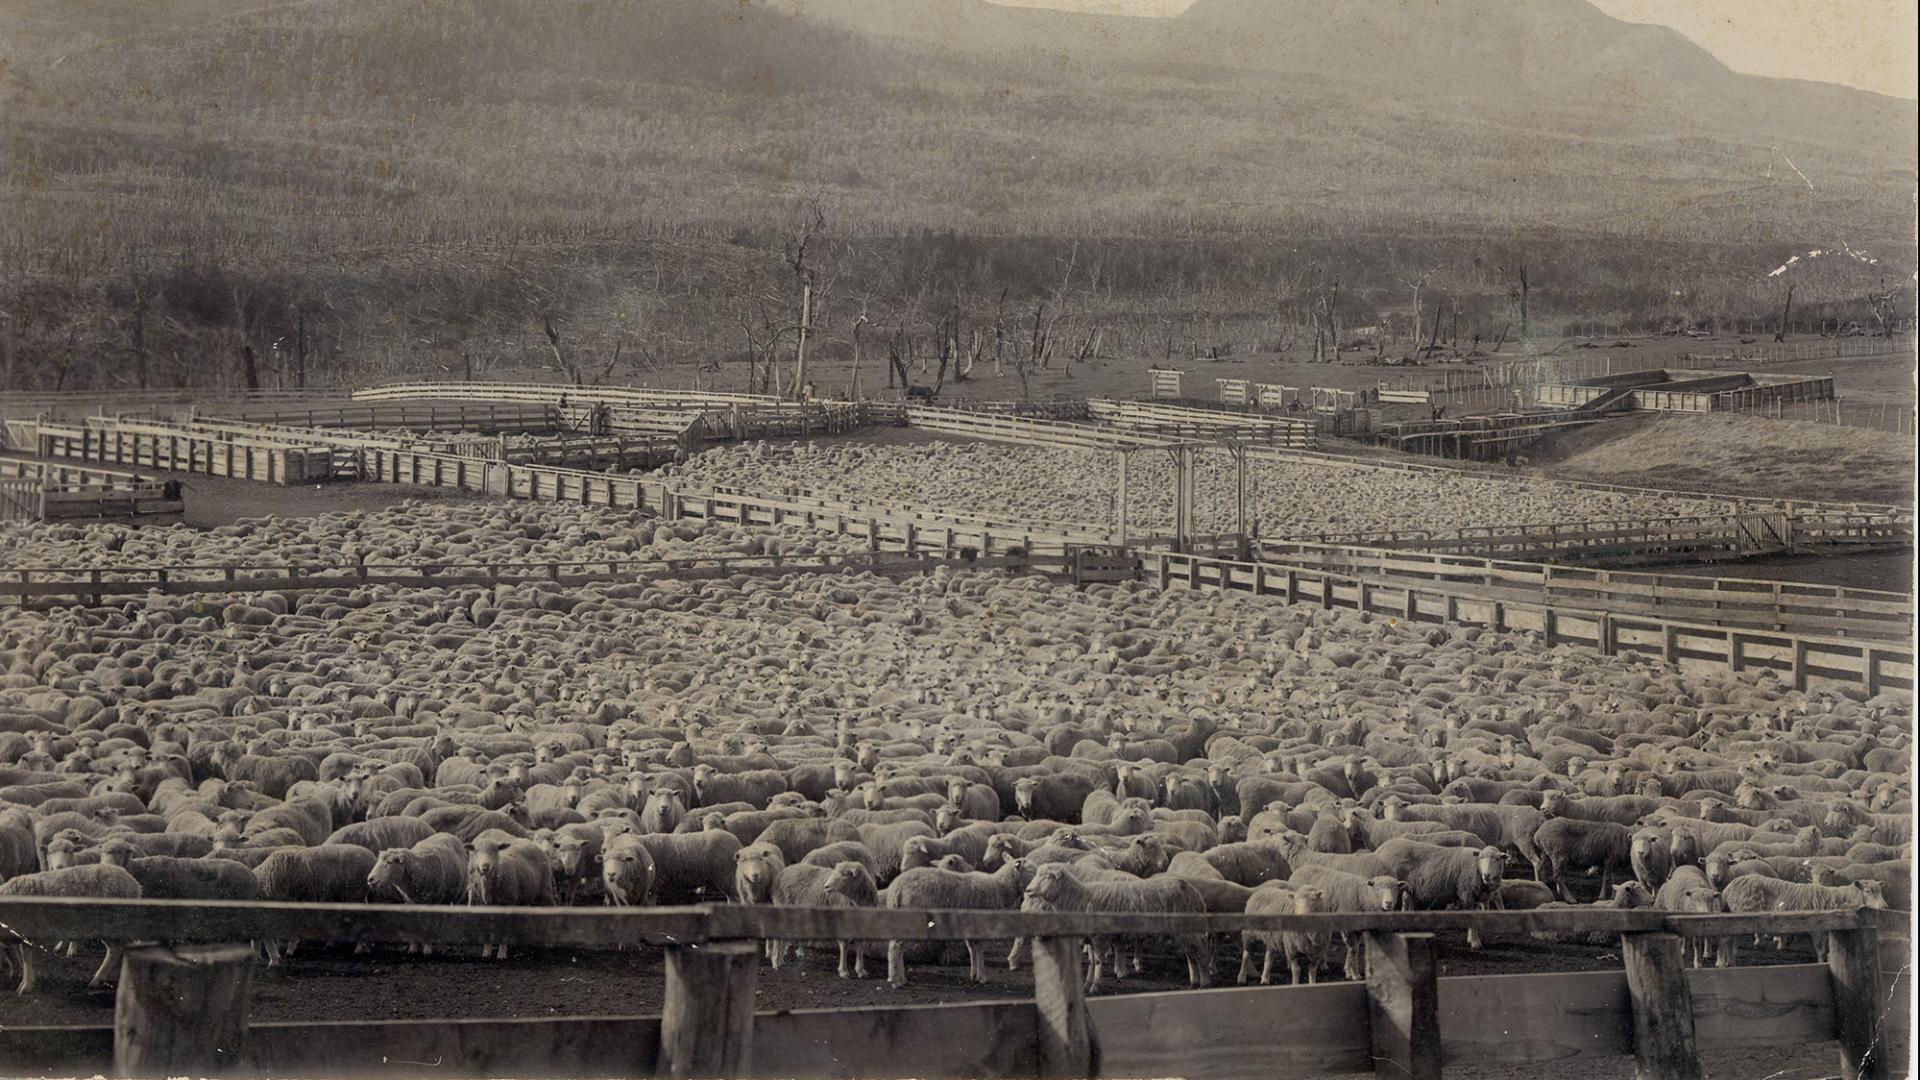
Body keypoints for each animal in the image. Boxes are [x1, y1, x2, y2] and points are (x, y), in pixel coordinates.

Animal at [883, 853, 1036, 991]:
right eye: (1031, 870)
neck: (1000, 888)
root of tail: (896, 888)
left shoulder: (970, 927)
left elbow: (972, 949)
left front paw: (974, 975)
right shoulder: (981, 924)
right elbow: (980, 949)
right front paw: (983, 977)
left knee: (896, 947)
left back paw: (902, 979)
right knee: (896, 948)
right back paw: (896, 981)